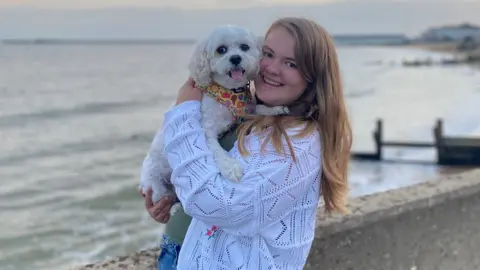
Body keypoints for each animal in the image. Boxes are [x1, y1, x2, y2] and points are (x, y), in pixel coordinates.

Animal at [141, 24, 286, 215]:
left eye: (244, 47)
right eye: (221, 50)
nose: (235, 58)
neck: (228, 93)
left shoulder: (246, 110)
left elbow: (258, 108)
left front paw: (276, 109)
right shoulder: (206, 131)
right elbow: (217, 151)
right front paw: (230, 167)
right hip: (154, 183)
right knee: (162, 196)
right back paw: (173, 208)